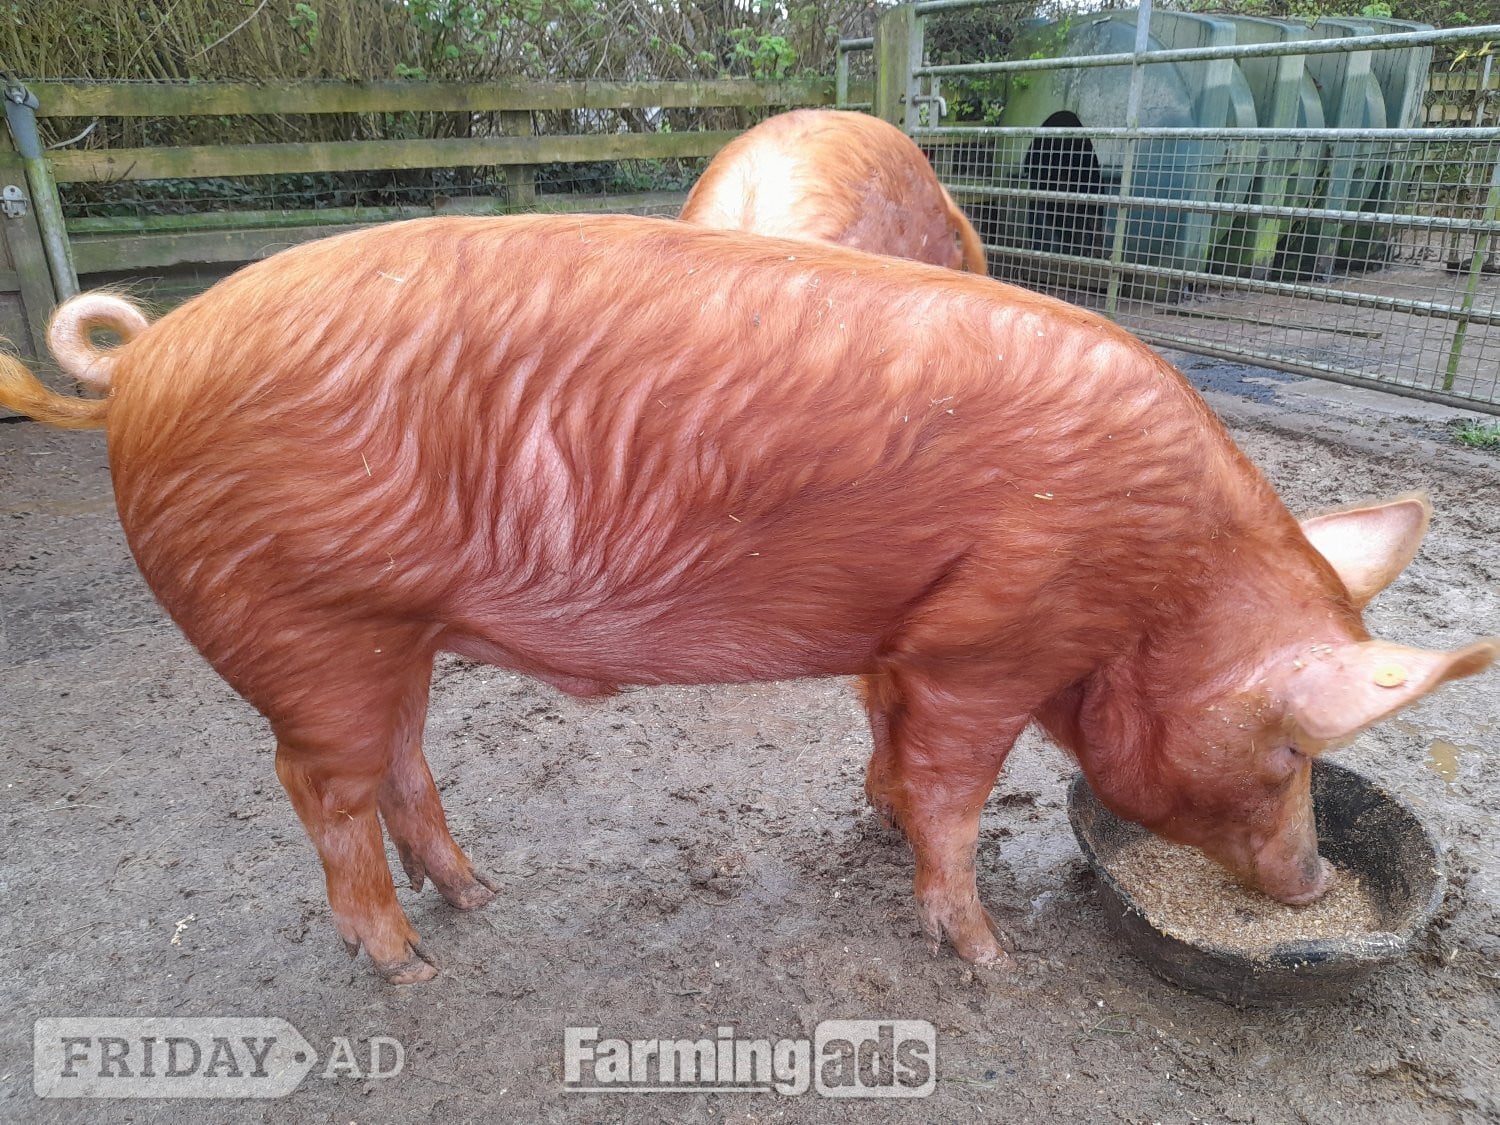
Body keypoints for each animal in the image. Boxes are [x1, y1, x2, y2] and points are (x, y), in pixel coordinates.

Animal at [1, 214, 1492, 985]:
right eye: (1293, 751)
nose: (1311, 882)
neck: (1154, 583)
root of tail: (145, 362)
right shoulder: (992, 643)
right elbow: (957, 793)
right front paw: (985, 956)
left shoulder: (910, 637)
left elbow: (890, 741)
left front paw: (876, 821)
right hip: (304, 623)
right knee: (319, 789)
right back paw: (409, 962)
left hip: (389, 635)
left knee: (400, 764)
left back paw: (477, 898)